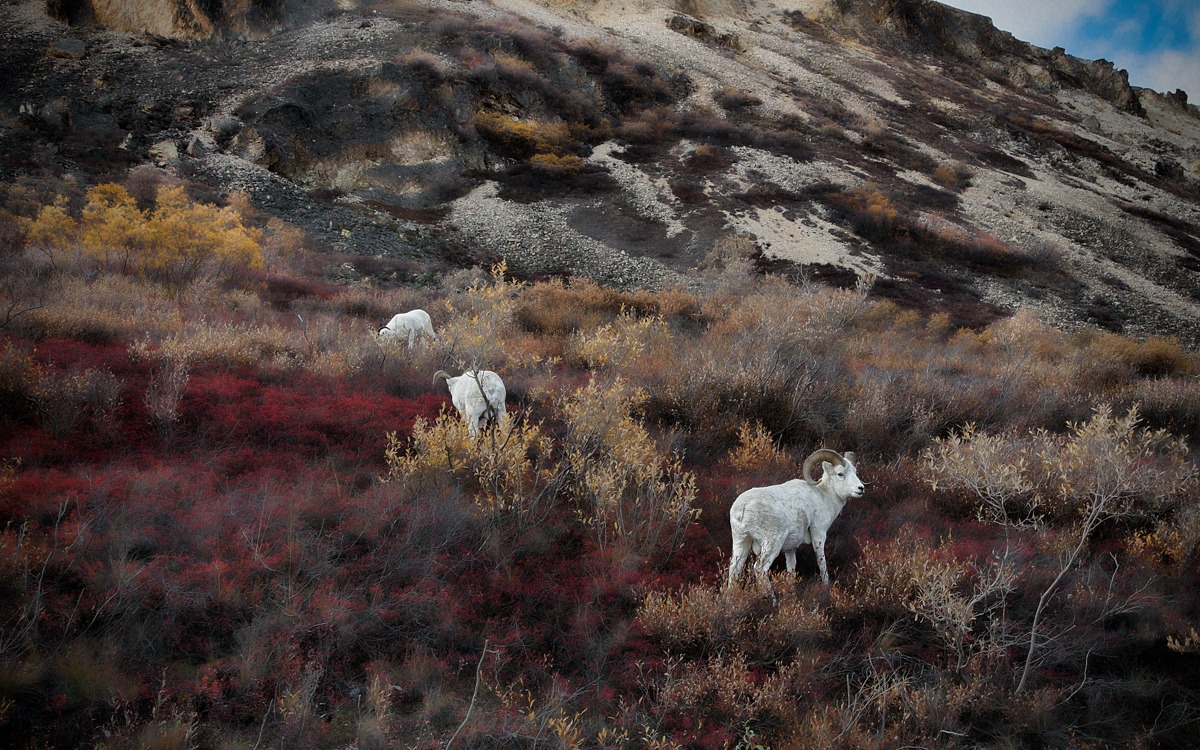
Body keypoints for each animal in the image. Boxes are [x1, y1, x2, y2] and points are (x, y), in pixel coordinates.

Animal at [720, 446, 864, 588]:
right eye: (840, 474)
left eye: (855, 472)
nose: (860, 488)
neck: (823, 495)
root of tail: (743, 507)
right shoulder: (819, 534)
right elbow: (821, 562)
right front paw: (826, 584)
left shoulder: (790, 548)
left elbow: (791, 569)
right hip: (772, 544)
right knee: (760, 569)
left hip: (741, 542)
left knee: (734, 569)